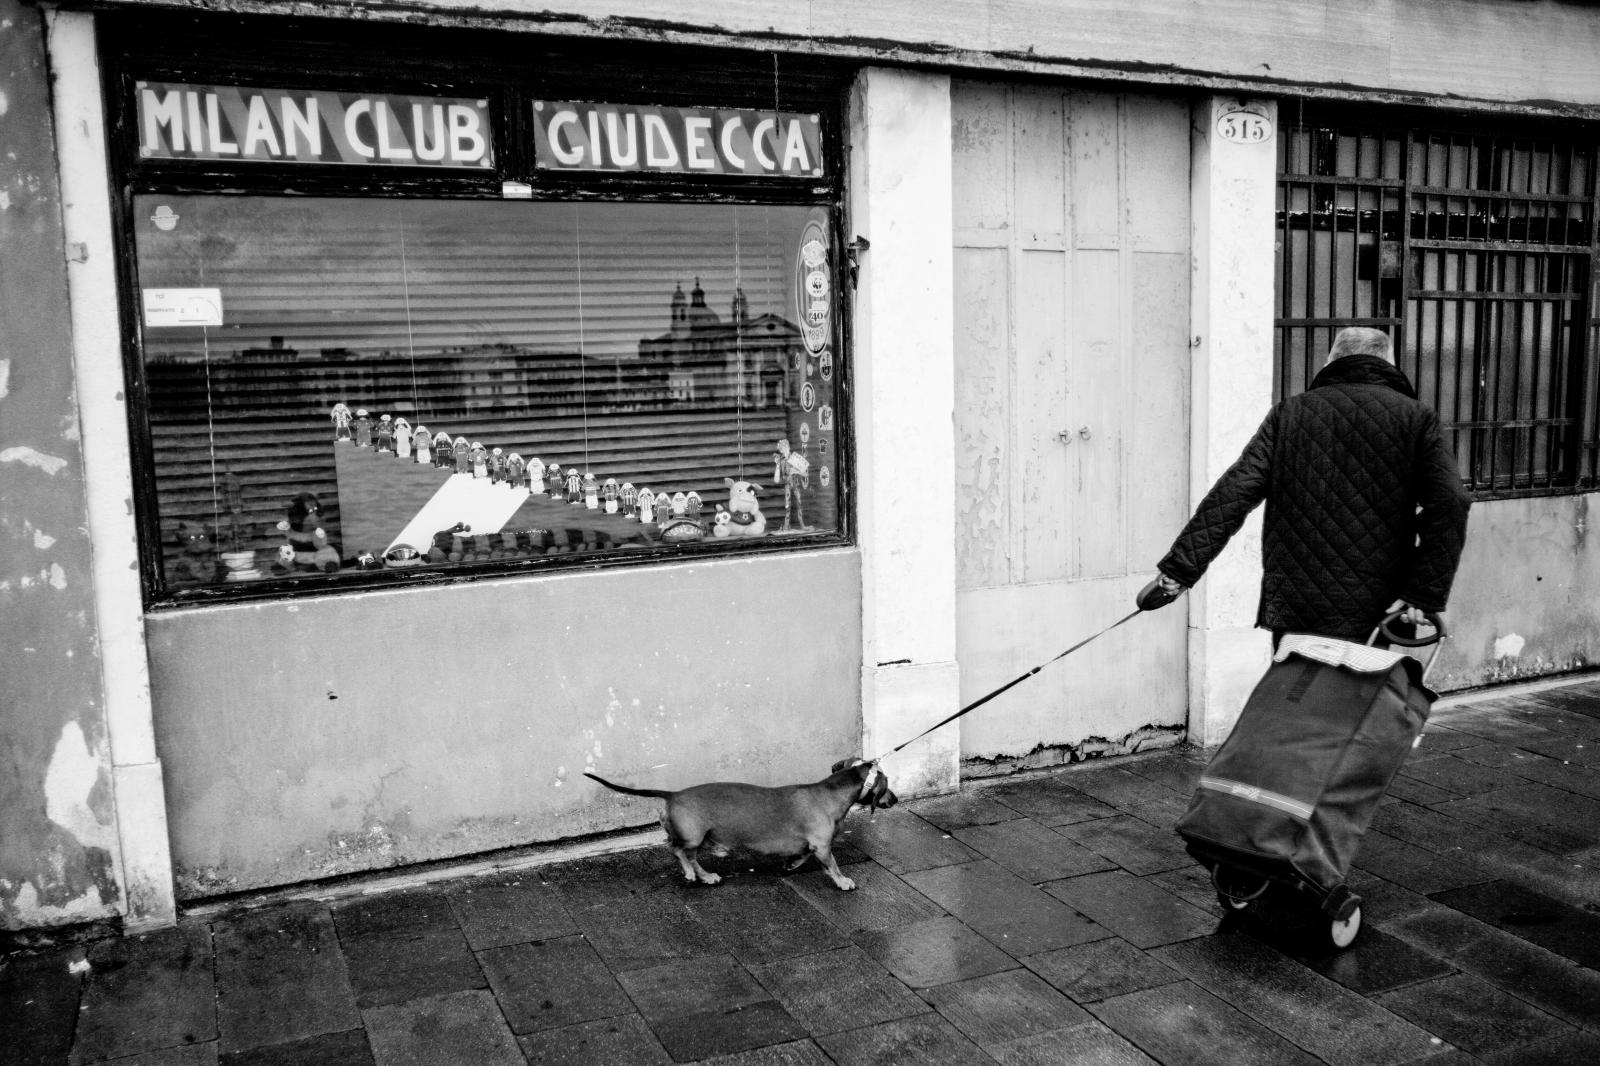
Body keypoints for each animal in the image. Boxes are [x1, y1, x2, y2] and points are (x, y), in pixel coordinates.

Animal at [585, 755, 896, 889]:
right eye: (887, 786)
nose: (893, 799)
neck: (831, 792)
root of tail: (673, 794)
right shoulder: (822, 845)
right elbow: (833, 864)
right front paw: (843, 881)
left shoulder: (812, 846)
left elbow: (803, 855)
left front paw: (792, 863)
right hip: (693, 836)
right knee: (678, 851)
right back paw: (693, 874)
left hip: (698, 837)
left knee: (686, 854)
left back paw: (704, 875)